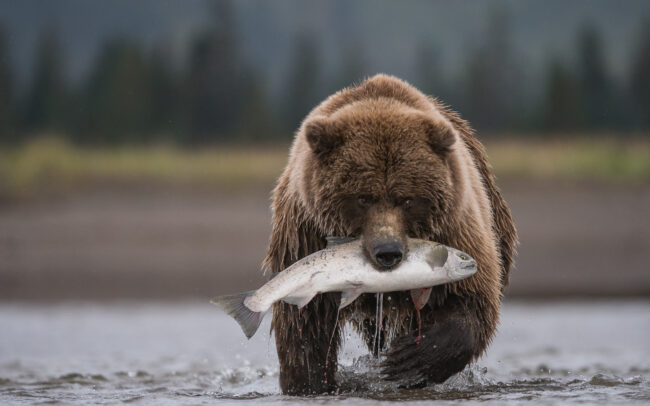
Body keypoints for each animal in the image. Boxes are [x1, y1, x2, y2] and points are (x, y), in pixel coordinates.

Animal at [262, 74, 517, 395]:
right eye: (363, 198)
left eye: (407, 199)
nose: (388, 252)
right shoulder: (304, 235)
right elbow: (306, 324)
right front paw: (310, 383)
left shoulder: (455, 227)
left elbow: (473, 300)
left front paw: (408, 360)